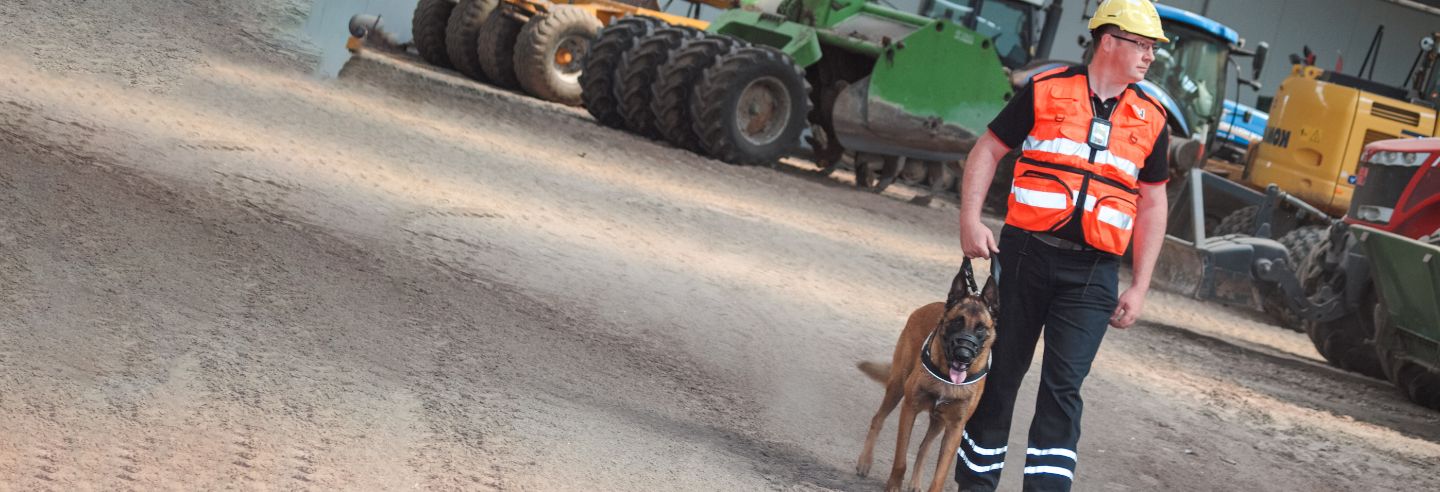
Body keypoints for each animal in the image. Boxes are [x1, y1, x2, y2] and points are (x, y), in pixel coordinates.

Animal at [858, 267, 996, 492]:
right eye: (958, 321)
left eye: (981, 328)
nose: (963, 355)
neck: (947, 377)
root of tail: (926, 306)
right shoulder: (909, 408)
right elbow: (900, 460)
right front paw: (894, 485)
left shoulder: (954, 429)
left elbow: (938, 475)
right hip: (897, 388)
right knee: (877, 419)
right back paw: (864, 461)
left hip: (938, 420)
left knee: (923, 447)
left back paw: (915, 482)